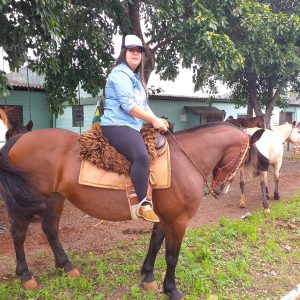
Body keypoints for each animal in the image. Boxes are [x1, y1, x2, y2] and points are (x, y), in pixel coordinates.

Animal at [0, 122, 258, 300]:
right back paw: (26, 276)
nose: (222, 188)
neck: (185, 160)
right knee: (19, 234)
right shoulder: (178, 221)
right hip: (24, 203)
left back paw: (67, 267)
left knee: (50, 229)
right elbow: (171, 256)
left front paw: (148, 277)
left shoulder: (164, 217)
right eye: (246, 156)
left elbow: (154, 244)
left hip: (55, 198)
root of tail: (19, 140)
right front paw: (171, 289)